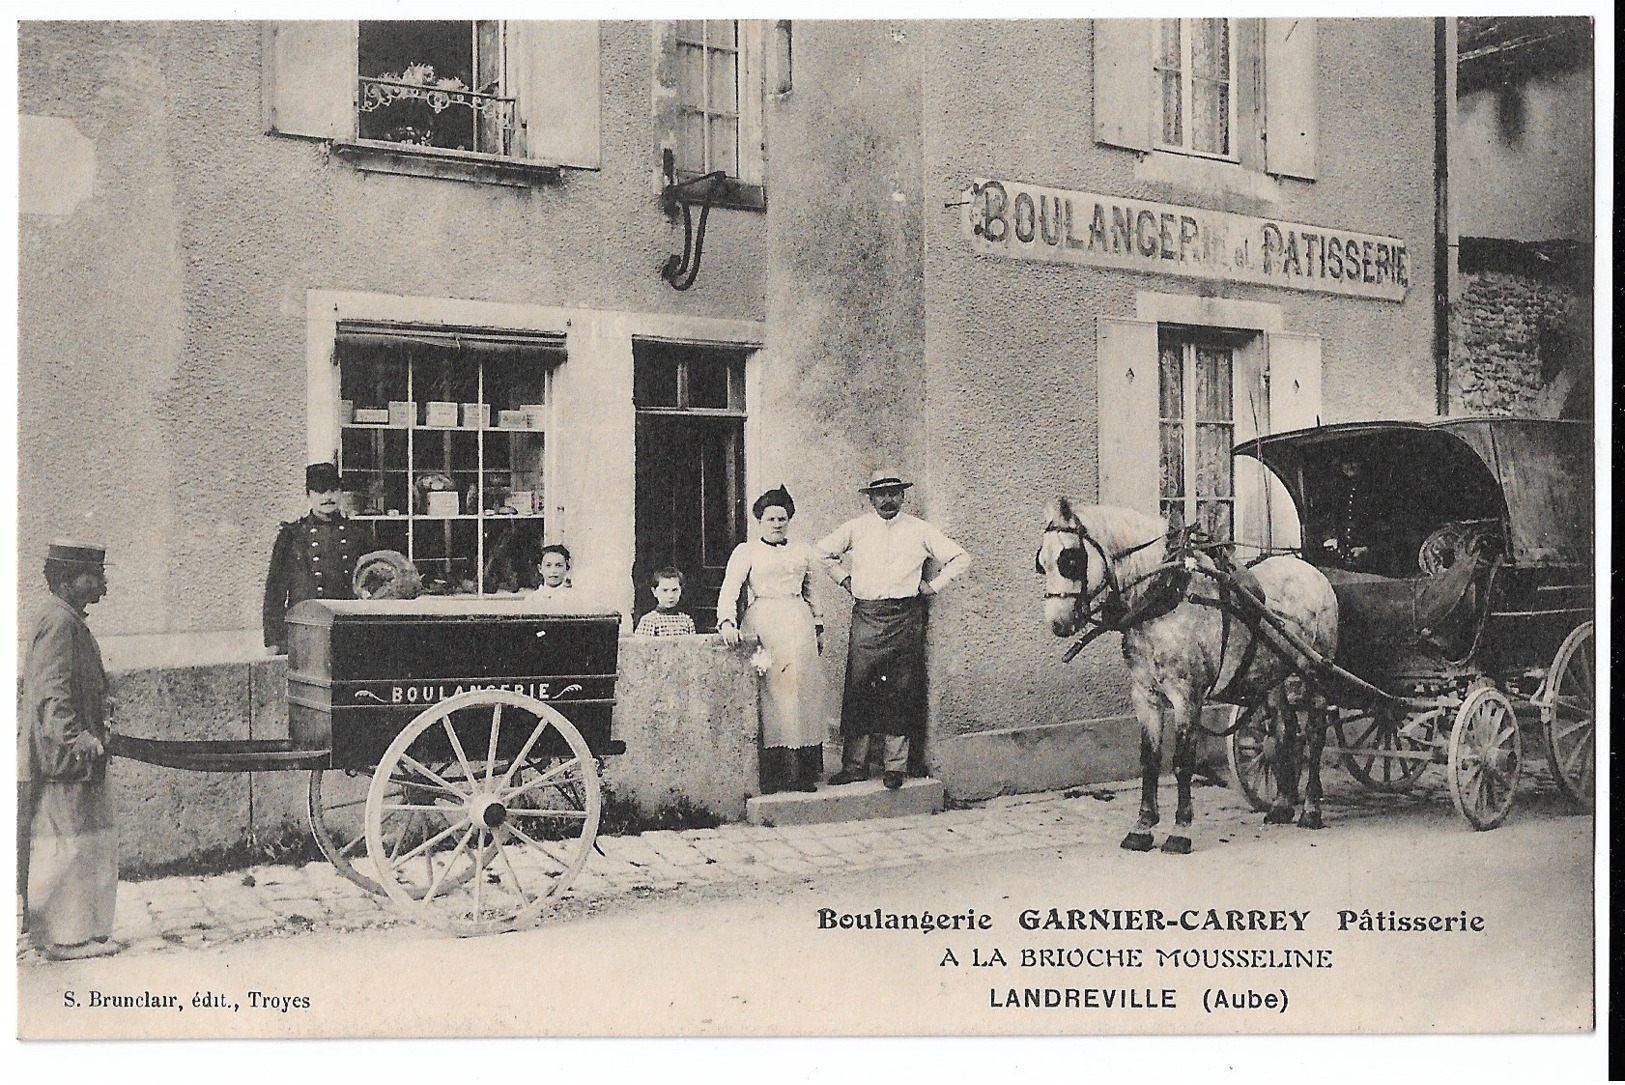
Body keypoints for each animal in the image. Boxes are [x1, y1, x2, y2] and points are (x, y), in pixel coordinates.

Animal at [1046, 497, 1339, 851]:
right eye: (1041, 563)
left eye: (1070, 559)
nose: (1058, 623)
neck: (1165, 595)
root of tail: (1310, 570)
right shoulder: (1145, 695)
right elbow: (1149, 760)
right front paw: (1142, 826)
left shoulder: (1187, 696)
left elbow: (1182, 762)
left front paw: (1180, 830)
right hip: (1274, 673)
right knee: (1285, 731)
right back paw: (1282, 805)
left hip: (1316, 671)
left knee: (1315, 735)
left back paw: (1310, 809)